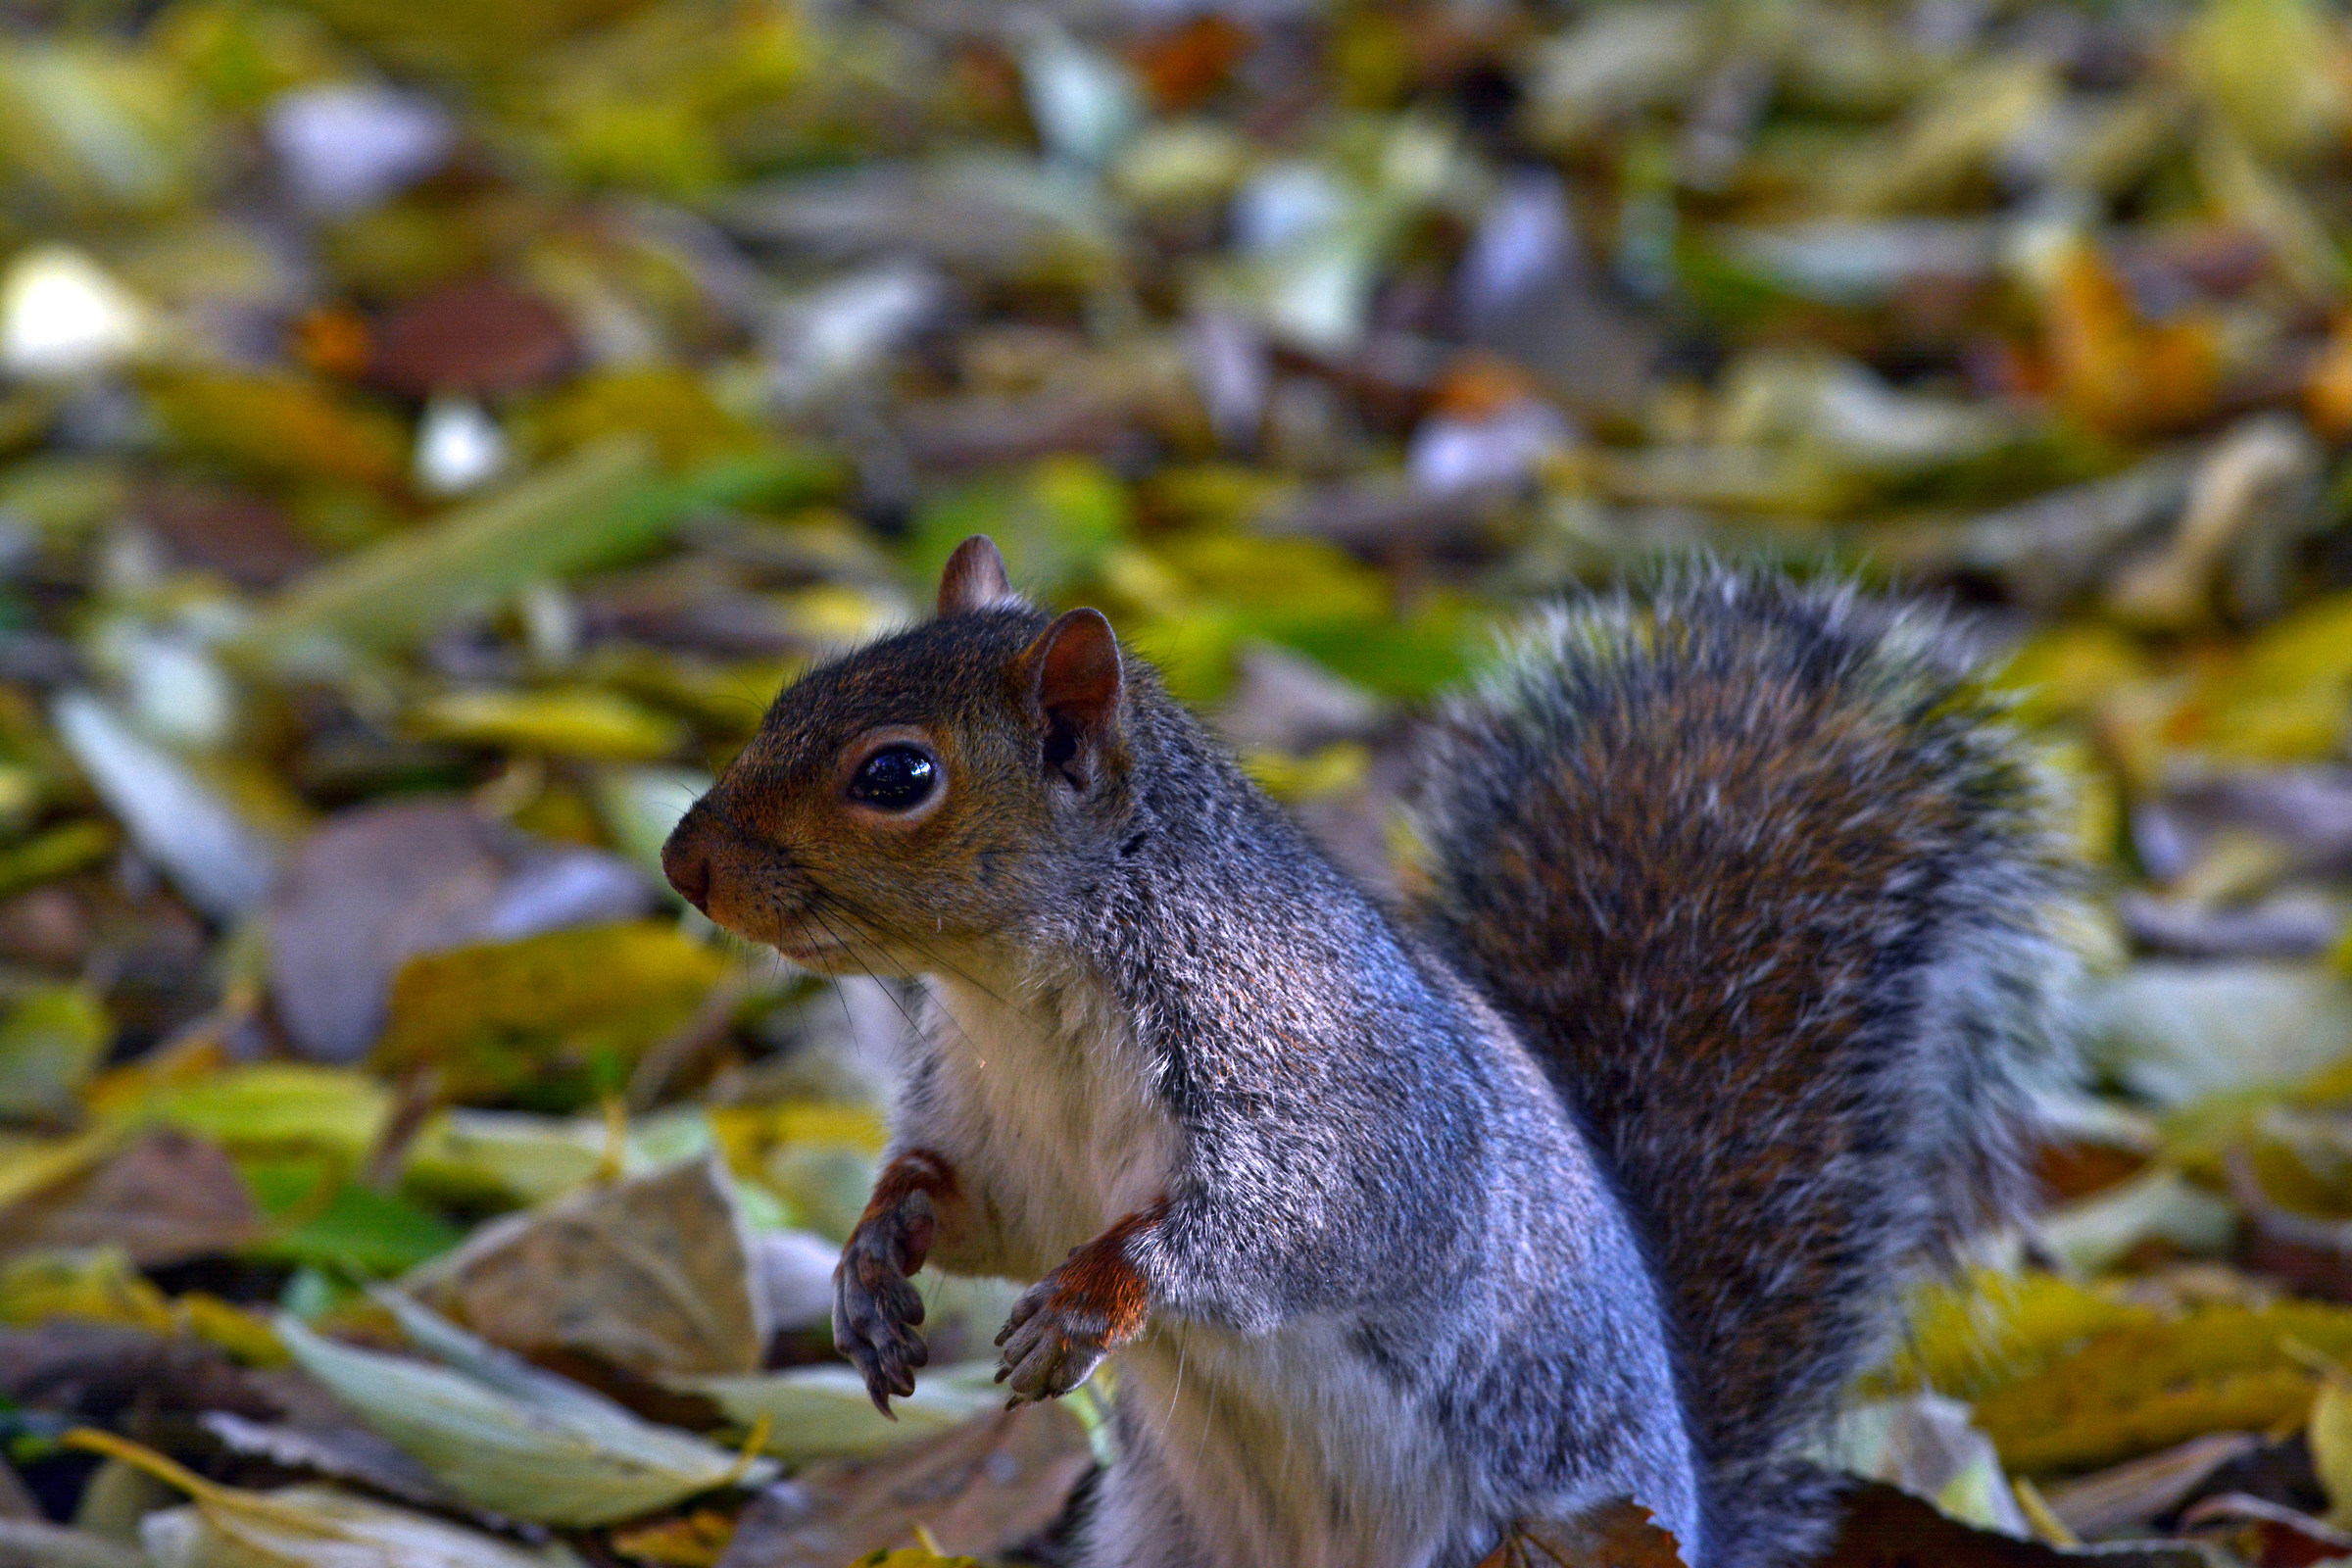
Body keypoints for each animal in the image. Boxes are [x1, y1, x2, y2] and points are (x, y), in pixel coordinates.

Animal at [660, 535, 2078, 1568]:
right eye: (789, 694)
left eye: (896, 776)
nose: (684, 864)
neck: (1024, 996)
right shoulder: (1001, 1133)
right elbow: (969, 1202)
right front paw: (871, 1262)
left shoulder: (1318, 1080)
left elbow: (1284, 1231)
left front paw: (1096, 1295)